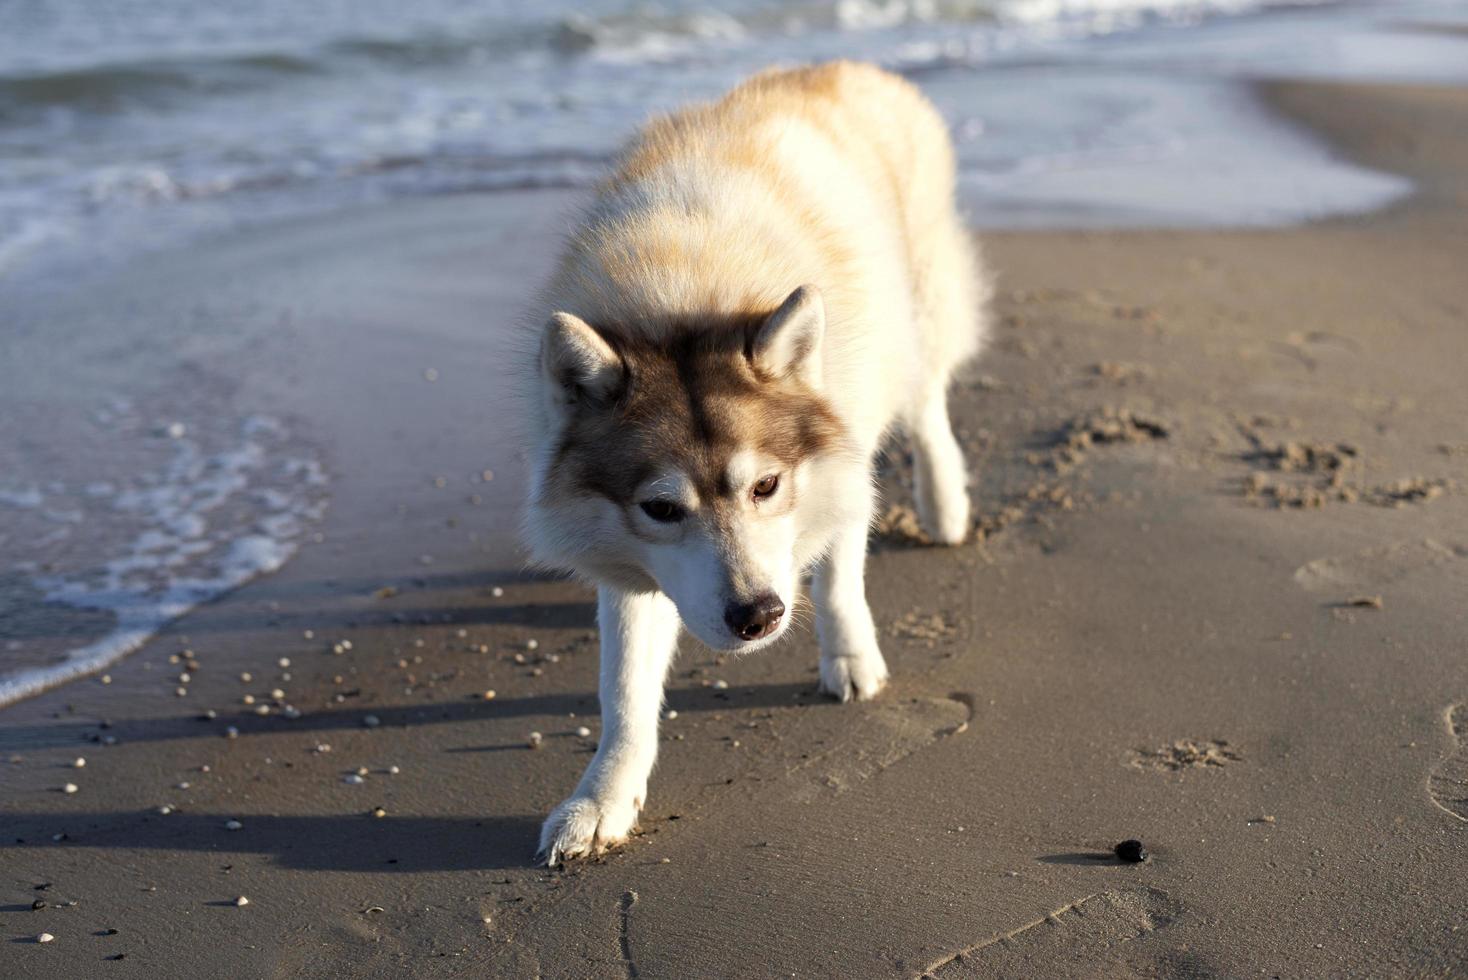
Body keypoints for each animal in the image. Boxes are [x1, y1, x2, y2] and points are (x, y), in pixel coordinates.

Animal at [522, 61, 992, 862]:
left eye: (767, 485)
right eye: (661, 509)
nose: (759, 616)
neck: (687, 295)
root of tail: (841, 67)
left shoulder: (840, 460)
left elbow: (839, 578)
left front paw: (849, 659)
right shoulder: (634, 562)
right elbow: (624, 689)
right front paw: (600, 799)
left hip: (918, 310)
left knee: (928, 398)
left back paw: (944, 505)